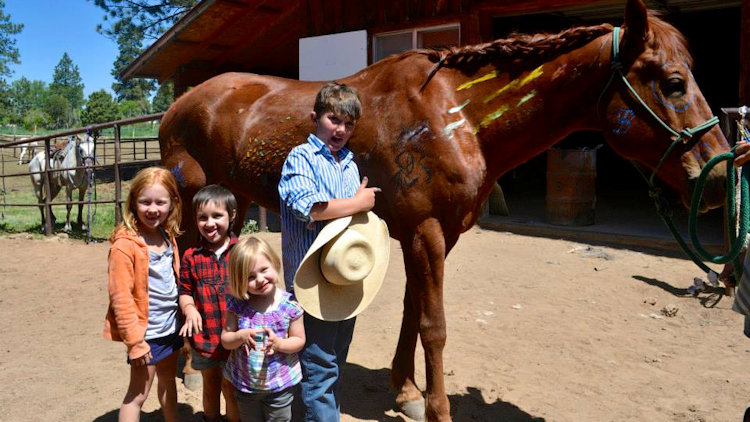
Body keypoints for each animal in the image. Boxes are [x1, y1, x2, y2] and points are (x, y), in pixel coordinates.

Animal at [159, 1, 728, 420]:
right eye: (674, 82)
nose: (721, 174)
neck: (458, 114)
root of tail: (178, 105)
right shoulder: (425, 230)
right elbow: (435, 324)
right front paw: (436, 407)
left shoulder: (435, 233)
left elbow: (414, 310)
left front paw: (407, 391)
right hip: (197, 204)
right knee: (185, 261)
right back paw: (188, 366)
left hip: (234, 204)